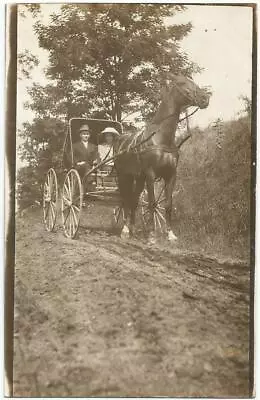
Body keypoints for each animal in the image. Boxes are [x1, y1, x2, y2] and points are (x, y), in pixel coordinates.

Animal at [113, 74, 209, 244]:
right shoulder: (151, 175)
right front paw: (152, 235)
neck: (161, 138)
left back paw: (132, 230)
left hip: (139, 178)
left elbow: (168, 204)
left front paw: (170, 234)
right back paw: (124, 230)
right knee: (125, 199)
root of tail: (119, 140)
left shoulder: (171, 175)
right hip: (124, 176)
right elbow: (152, 203)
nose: (205, 98)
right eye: (182, 83)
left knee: (134, 200)